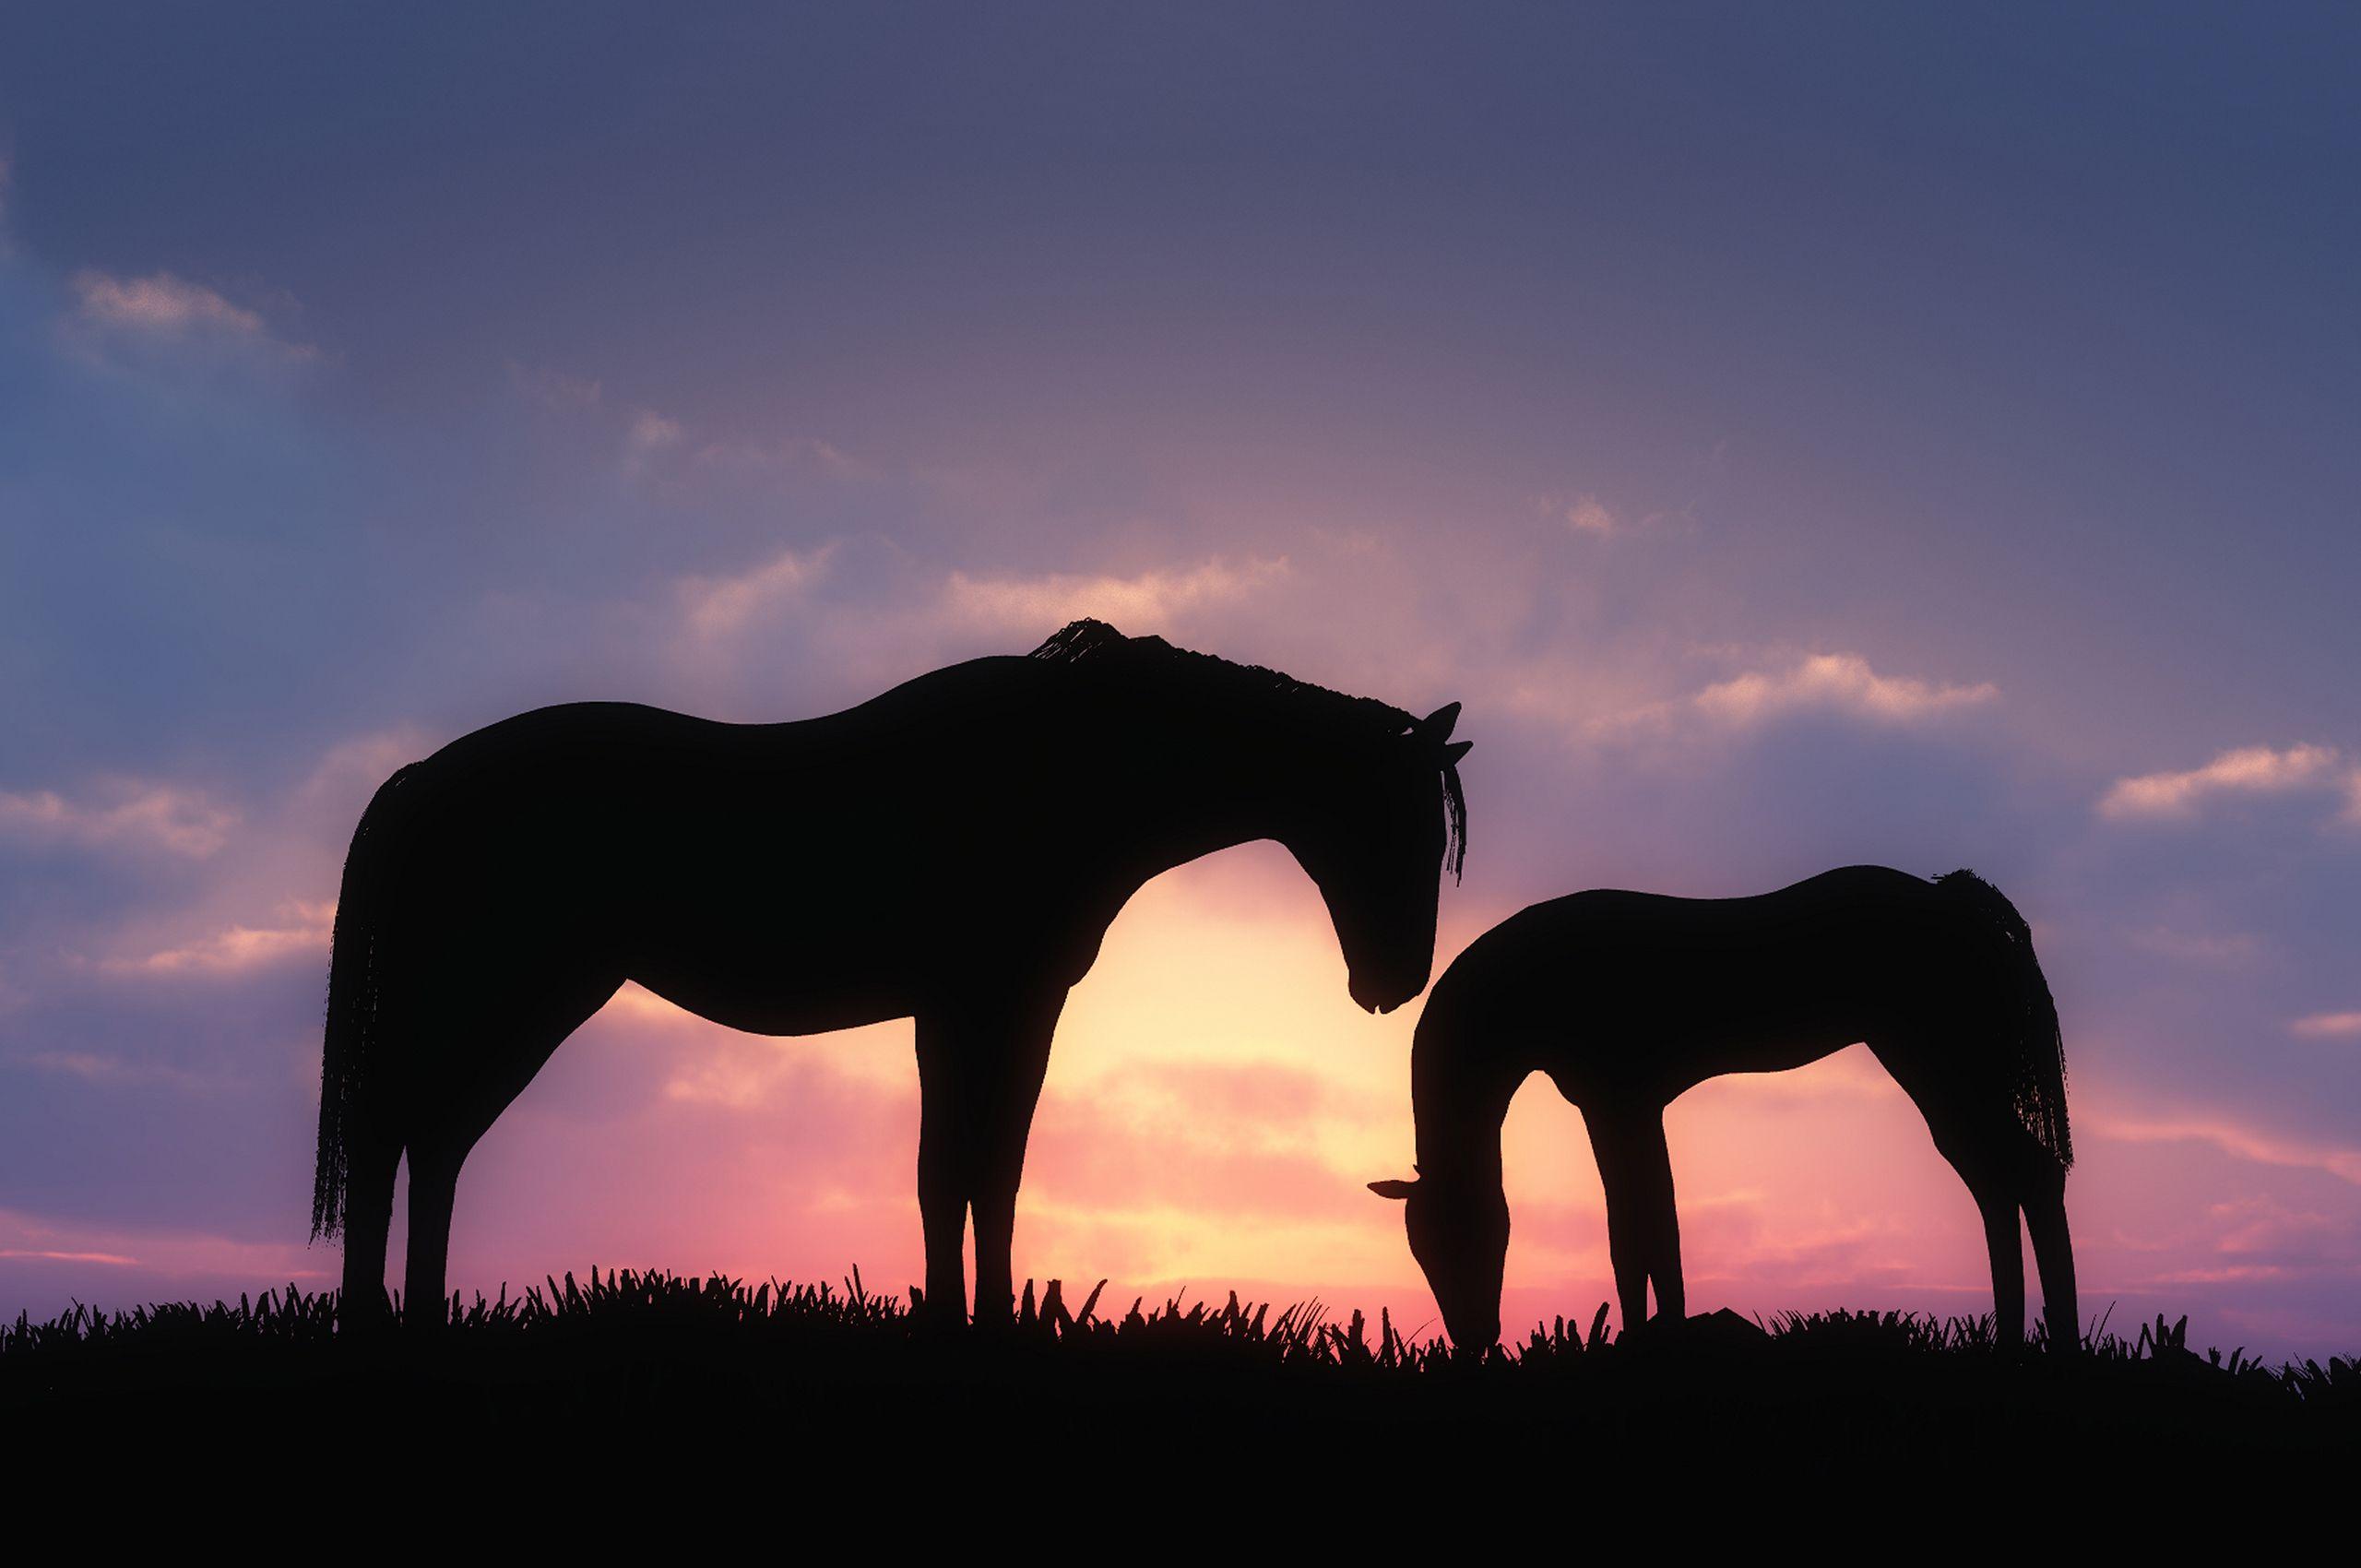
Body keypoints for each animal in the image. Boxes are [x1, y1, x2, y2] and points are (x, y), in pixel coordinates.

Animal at [314, 618, 1471, 1330]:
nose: (1393, 982)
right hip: (507, 993)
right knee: (399, 1136)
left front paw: (972, 1316)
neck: (1067, 772)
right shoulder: (993, 1001)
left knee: (430, 1141)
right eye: (1403, 822)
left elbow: (964, 1169)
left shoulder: (972, 1009)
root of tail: (421, 777)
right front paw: (978, 1322)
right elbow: (971, 1167)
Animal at [1370, 865, 2076, 1353]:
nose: (1472, 1339)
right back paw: (2012, 1340)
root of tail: (1958, 900)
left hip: (1939, 1064)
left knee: (2027, 1176)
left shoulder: (1619, 1102)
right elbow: (1646, 1227)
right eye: (1420, 1251)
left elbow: (1640, 1230)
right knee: (1997, 1183)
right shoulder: (1626, 1107)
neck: (1535, 982)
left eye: (1467, 1236)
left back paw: (2059, 1342)